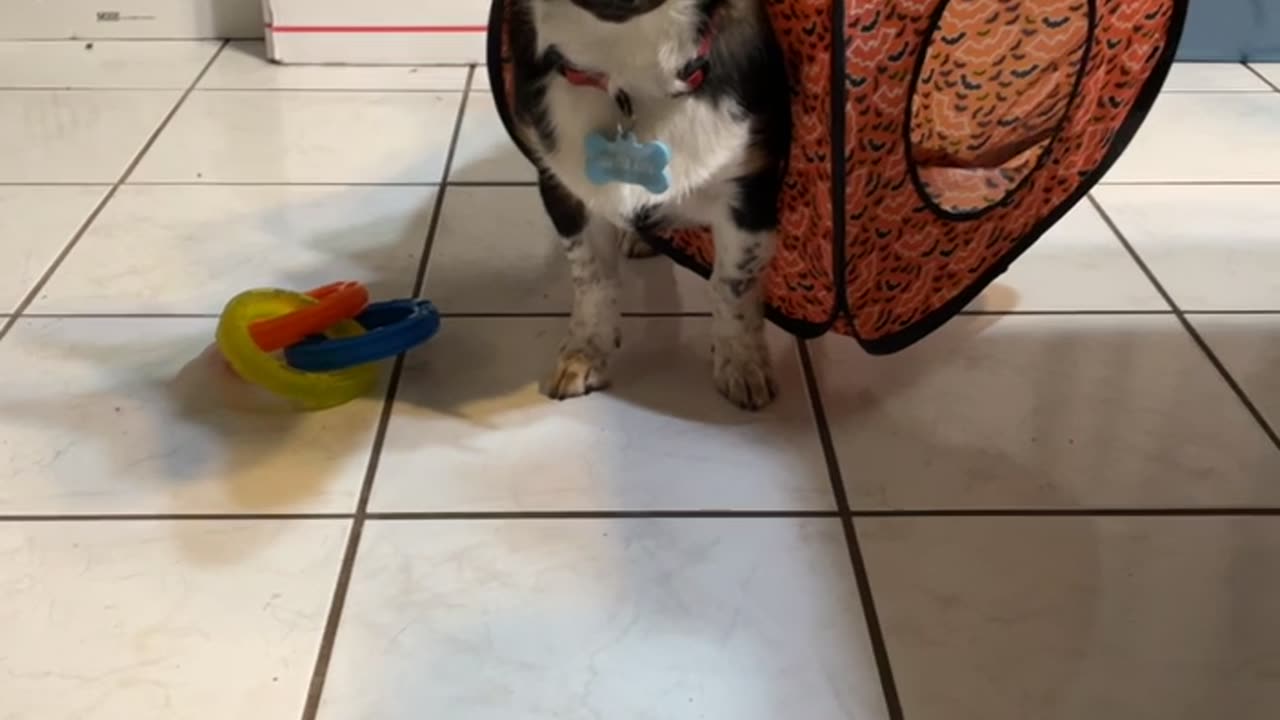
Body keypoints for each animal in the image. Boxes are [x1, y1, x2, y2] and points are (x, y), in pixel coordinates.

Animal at [501, 0, 788, 409]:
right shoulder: (565, 190)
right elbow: (593, 281)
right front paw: (584, 353)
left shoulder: (748, 194)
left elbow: (731, 286)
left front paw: (742, 361)